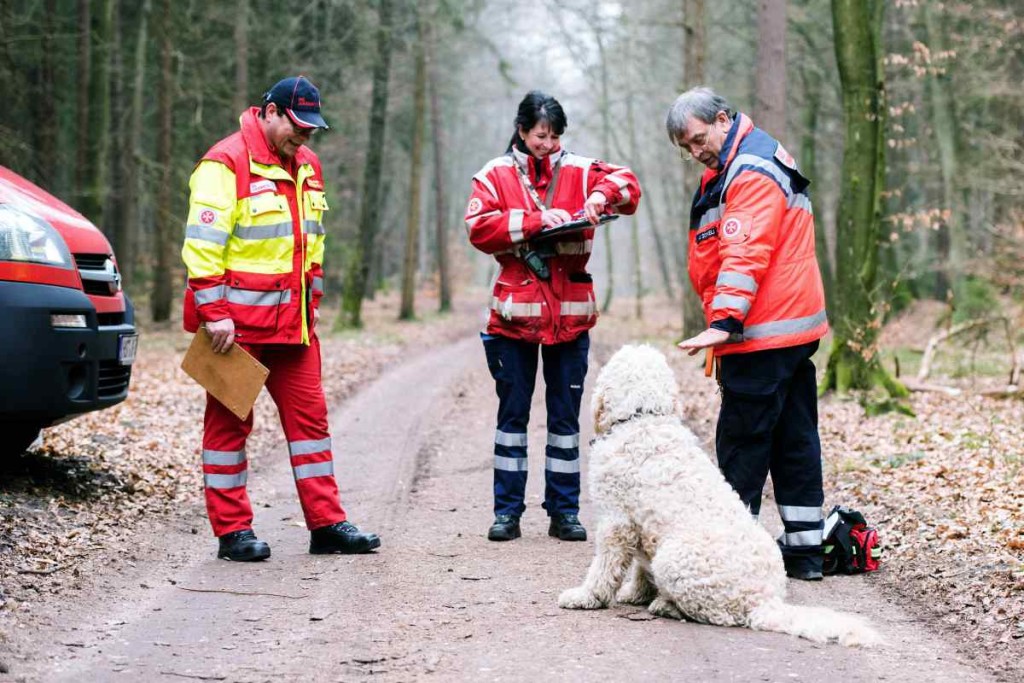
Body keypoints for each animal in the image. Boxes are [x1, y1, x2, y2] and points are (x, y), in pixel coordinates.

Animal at [561, 344, 880, 651]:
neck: (644, 419)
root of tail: (765, 601)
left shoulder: (616, 521)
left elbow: (604, 567)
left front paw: (586, 596)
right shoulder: (642, 526)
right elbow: (640, 566)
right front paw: (636, 592)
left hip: (673, 559)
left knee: (717, 615)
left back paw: (666, 606)